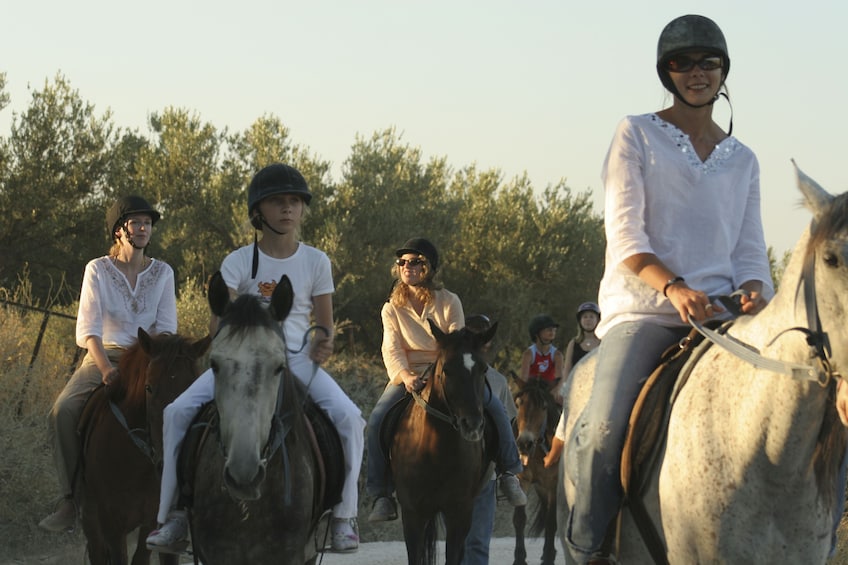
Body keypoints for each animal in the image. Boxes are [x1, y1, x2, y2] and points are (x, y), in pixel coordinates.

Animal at [390, 320, 496, 560]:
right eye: (446, 370)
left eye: (484, 369)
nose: (472, 424)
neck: (436, 452)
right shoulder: (413, 515)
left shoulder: (460, 513)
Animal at [510, 374, 564, 564]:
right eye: (518, 403)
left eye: (544, 406)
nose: (524, 443)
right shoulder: (522, 480)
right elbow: (519, 519)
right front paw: (519, 558)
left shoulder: (553, 485)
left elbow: (551, 522)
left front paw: (548, 556)